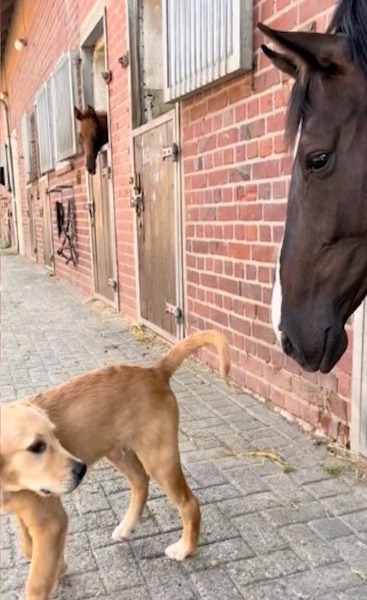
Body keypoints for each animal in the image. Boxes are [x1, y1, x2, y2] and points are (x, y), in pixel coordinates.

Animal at [0, 328, 230, 600]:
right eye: (36, 446)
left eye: (54, 436)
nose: (81, 470)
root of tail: (155, 371)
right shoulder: (27, 512)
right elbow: (28, 547)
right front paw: (59, 566)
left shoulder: (51, 521)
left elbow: (36, 581)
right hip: (118, 453)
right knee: (141, 484)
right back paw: (126, 527)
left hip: (159, 458)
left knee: (188, 503)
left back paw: (185, 548)